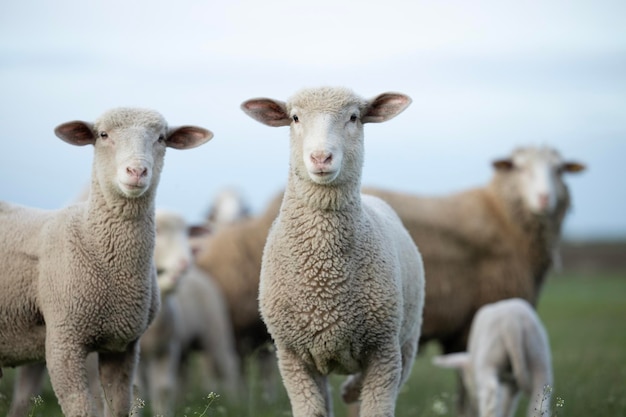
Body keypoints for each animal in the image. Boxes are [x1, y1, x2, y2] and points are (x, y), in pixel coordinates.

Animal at [0, 108, 212, 416]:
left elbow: (121, 405)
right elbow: (82, 408)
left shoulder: (123, 346)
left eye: (161, 138)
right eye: (103, 135)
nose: (136, 171)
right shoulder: (64, 341)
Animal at [239, 85, 424, 416]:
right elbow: (312, 411)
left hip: (407, 341)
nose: (321, 157)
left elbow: (376, 409)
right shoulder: (292, 357)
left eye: (353, 117)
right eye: (295, 118)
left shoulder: (384, 353)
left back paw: (351, 390)